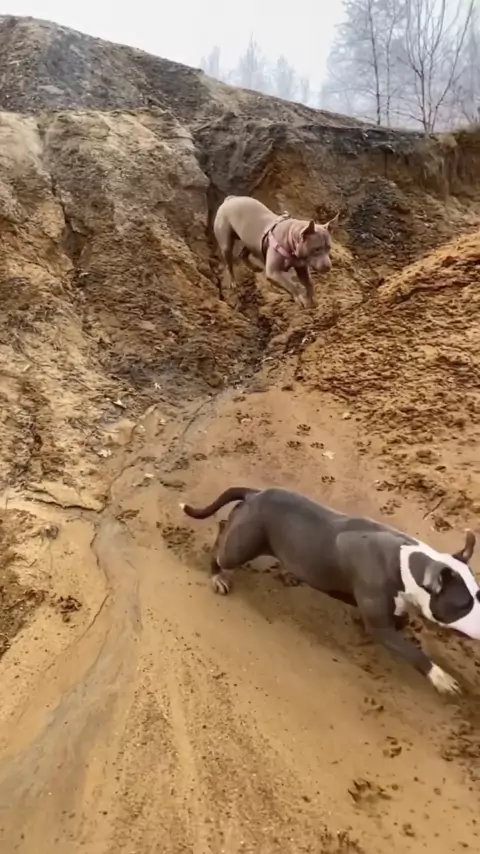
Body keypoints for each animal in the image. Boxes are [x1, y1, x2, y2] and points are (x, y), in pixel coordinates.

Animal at [181, 486, 479, 695]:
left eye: (478, 593)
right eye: (463, 604)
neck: (407, 564)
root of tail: (255, 493)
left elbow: (399, 619)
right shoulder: (381, 628)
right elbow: (413, 653)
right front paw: (441, 678)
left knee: (224, 526)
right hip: (241, 547)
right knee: (221, 549)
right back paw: (217, 575)